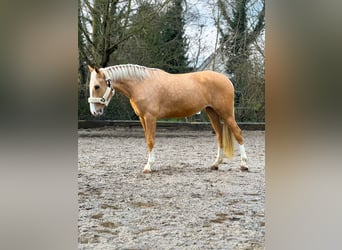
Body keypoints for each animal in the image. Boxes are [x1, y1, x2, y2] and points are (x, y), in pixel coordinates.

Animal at [87, 63, 248, 173]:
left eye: (96, 86)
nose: (94, 112)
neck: (141, 84)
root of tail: (227, 80)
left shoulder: (150, 117)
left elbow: (151, 141)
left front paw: (149, 166)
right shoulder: (142, 118)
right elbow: (147, 140)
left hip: (226, 113)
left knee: (238, 133)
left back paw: (244, 164)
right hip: (212, 112)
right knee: (220, 135)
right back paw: (215, 164)